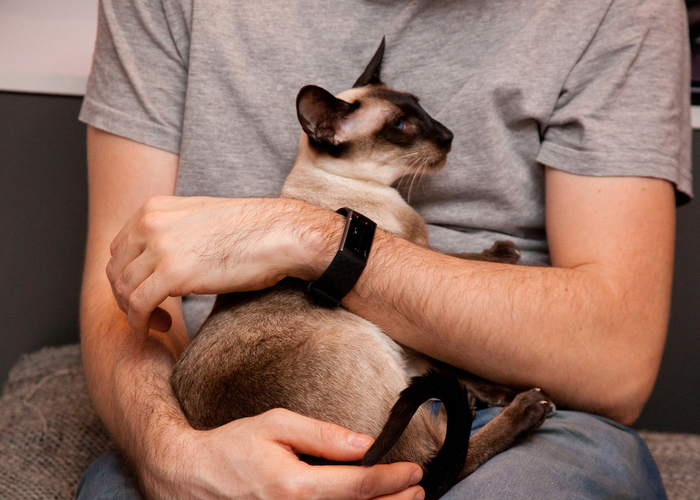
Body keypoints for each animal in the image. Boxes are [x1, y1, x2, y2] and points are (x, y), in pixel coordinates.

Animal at [172, 40, 556, 500]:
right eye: (402, 126)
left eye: (421, 109)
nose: (448, 136)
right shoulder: (416, 252)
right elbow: (466, 262)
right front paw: (507, 254)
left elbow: (452, 346)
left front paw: (489, 389)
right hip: (365, 344)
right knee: (430, 461)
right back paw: (524, 406)